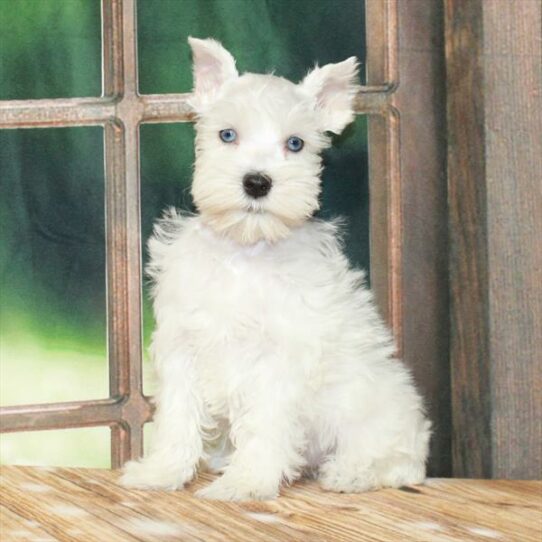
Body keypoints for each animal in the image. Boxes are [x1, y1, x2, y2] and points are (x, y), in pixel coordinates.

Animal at [121, 38, 432, 504]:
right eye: (227, 134)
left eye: (296, 143)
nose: (257, 182)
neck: (245, 253)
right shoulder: (183, 349)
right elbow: (178, 418)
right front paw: (162, 472)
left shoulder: (277, 362)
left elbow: (264, 426)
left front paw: (247, 482)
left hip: (375, 414)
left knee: (401, 460)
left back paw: (351, 473)